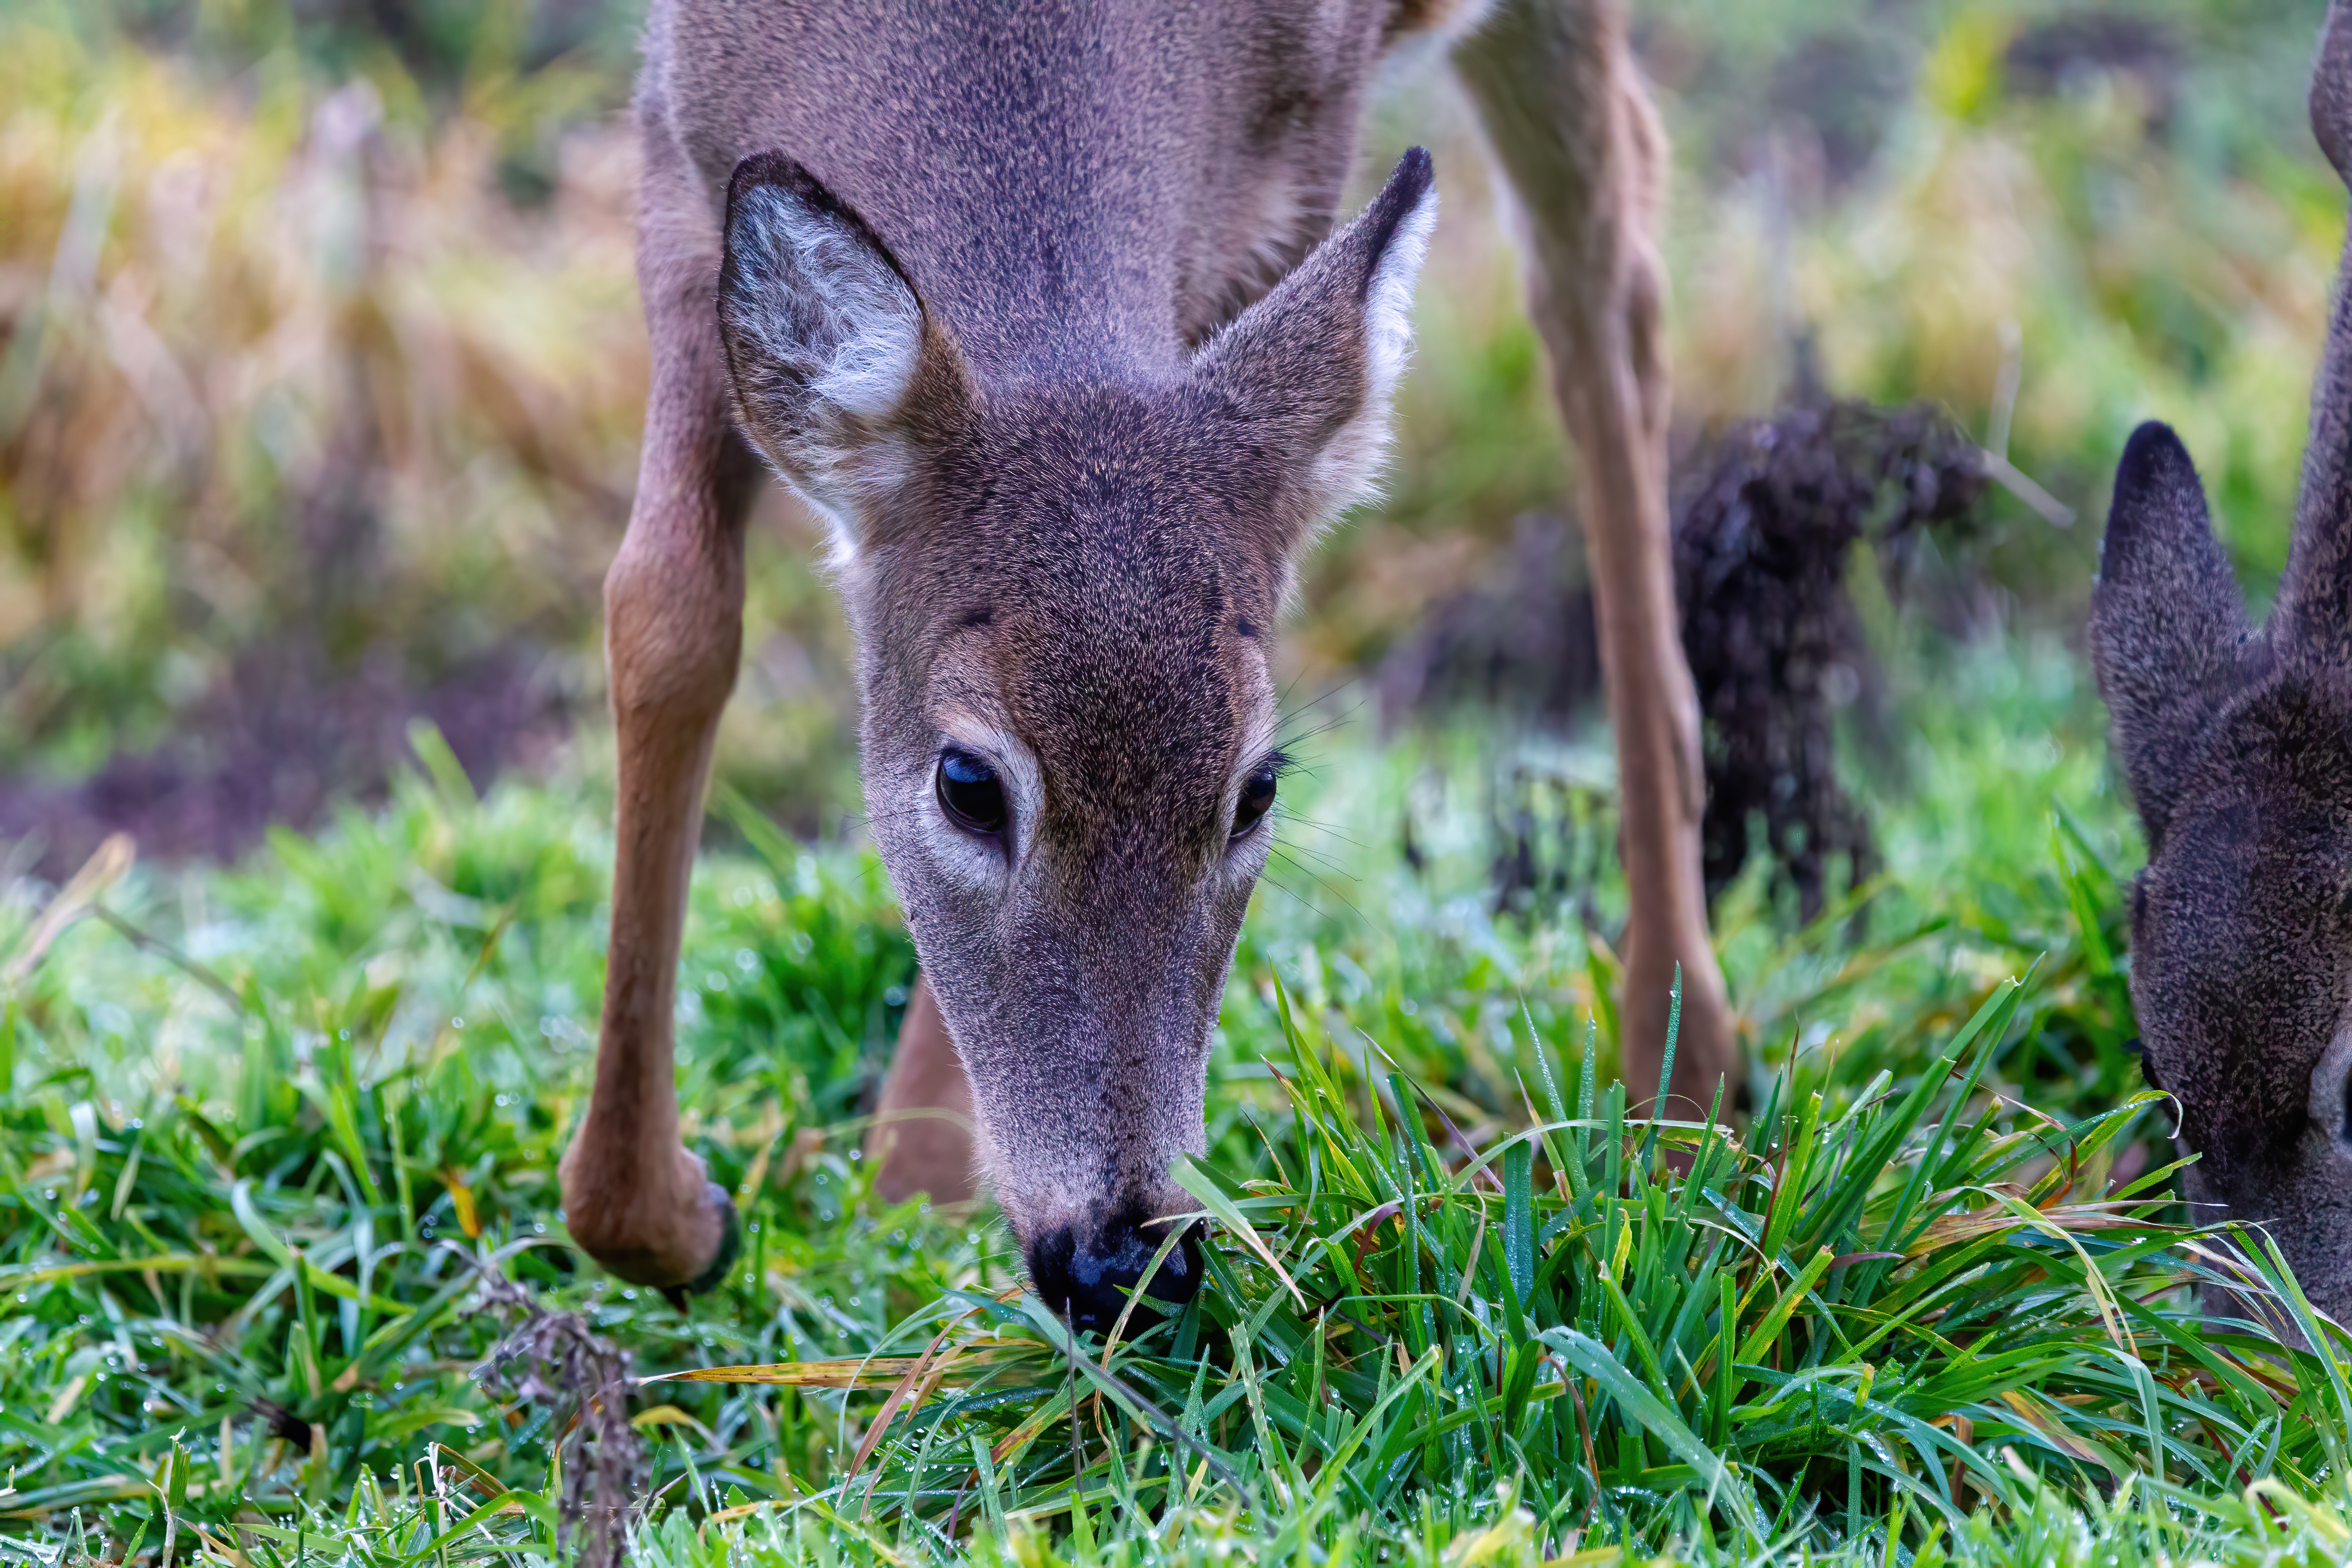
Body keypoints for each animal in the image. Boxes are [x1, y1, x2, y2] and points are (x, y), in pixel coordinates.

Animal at [557, 0, 1737, 1330]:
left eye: (1257, 789)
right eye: (967, 782)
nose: (1124, 1259)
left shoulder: (1292, 155)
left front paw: (898, 1185)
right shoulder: (674, 142)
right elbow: (663, 614)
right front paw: (673, 1218)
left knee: (1605, 282)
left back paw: (1682, 1084)